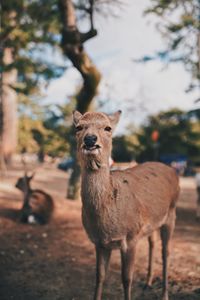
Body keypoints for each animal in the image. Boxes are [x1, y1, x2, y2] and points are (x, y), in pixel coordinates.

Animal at [72, 110, 179, 300]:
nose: (90, 139)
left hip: (172, 213)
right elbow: (99, 277)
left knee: (166, 252)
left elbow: (127, 279)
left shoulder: (131, 236)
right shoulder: (99, 242)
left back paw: (165, 294)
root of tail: (174, 172)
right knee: (153, 242)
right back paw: (147, 282)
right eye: (78, 127)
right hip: (152, 222)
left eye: (108, 128)